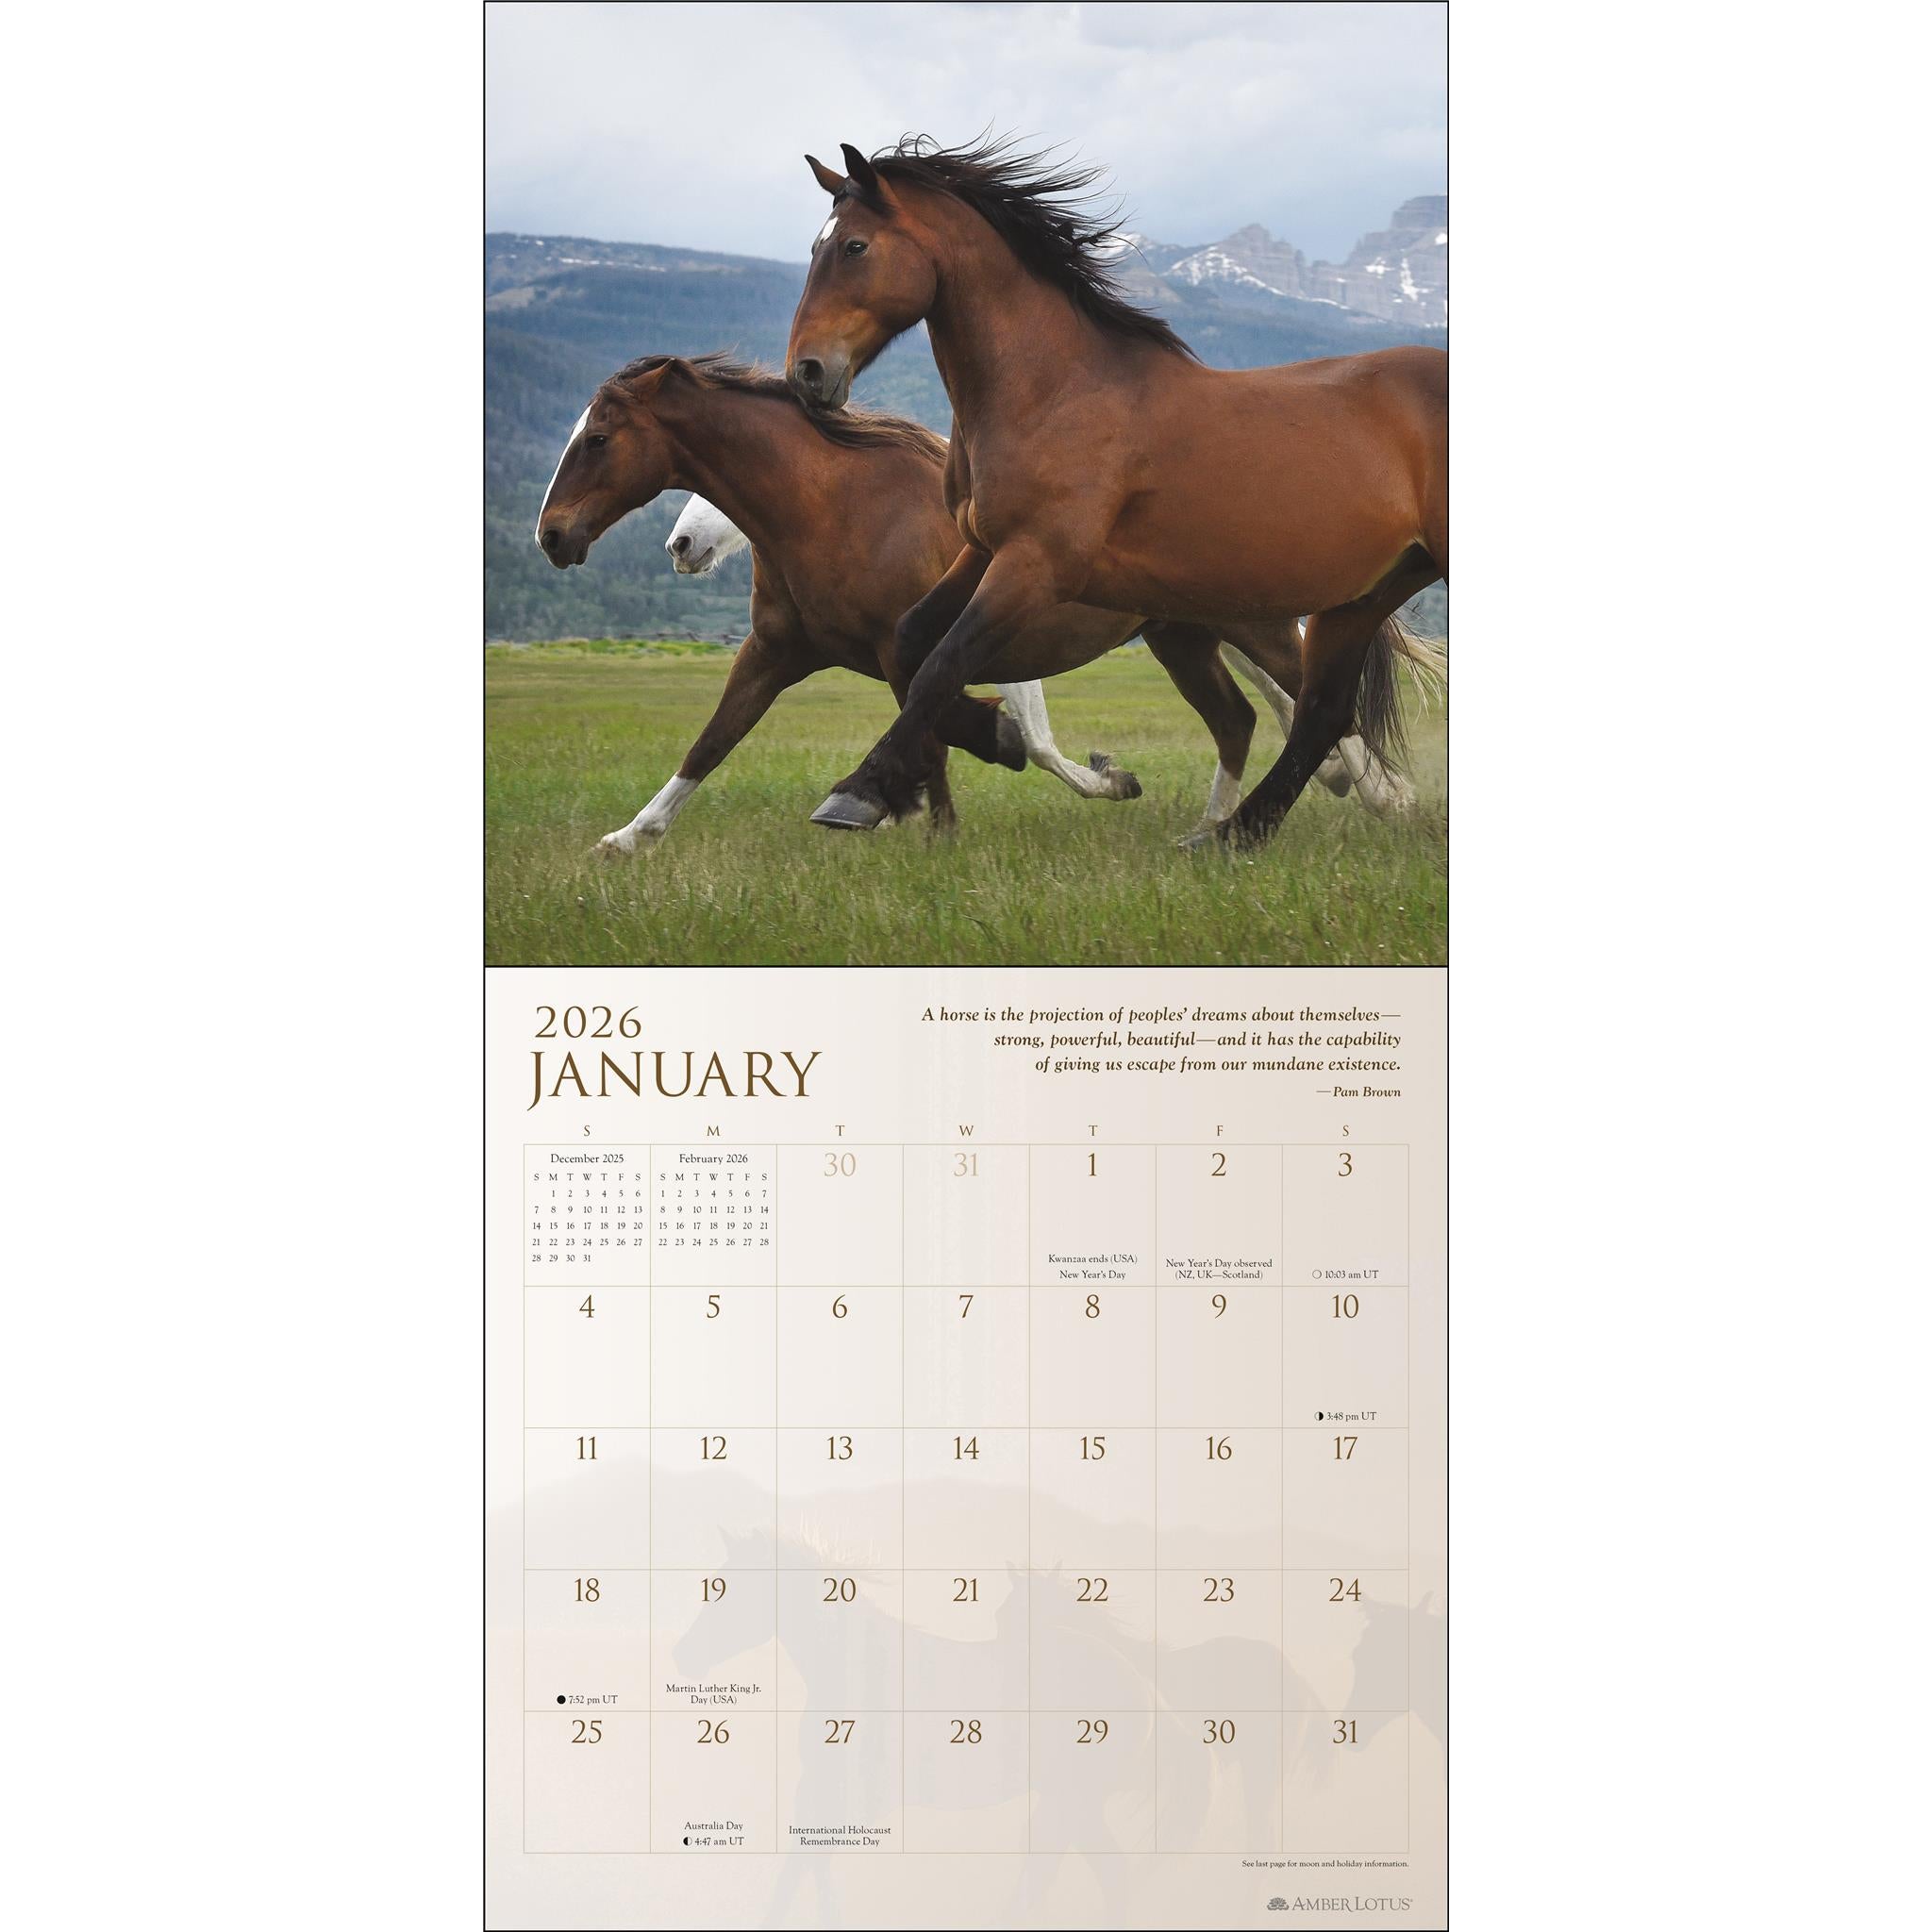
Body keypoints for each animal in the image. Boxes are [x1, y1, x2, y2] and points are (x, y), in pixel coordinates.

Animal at [665, 492, 1414, 824]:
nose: (681, 544)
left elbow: (1036, 744)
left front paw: (1109, 779)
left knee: (1300, 690)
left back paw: (1380, 790)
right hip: (1197, 631)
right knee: (1279, 698)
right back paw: (1348, 784)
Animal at [785, 134, 1448, 849]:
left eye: (855, 247)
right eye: (815, 249)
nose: (807, 373)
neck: (1054, 392)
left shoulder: (1036, 564)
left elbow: (943, 661)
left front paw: (859, 792)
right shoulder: (982, 551)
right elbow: (912, 644)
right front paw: (980, 742)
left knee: (1310, 711)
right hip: (1362, 593)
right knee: (1320, 710)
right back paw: (1231, 835)